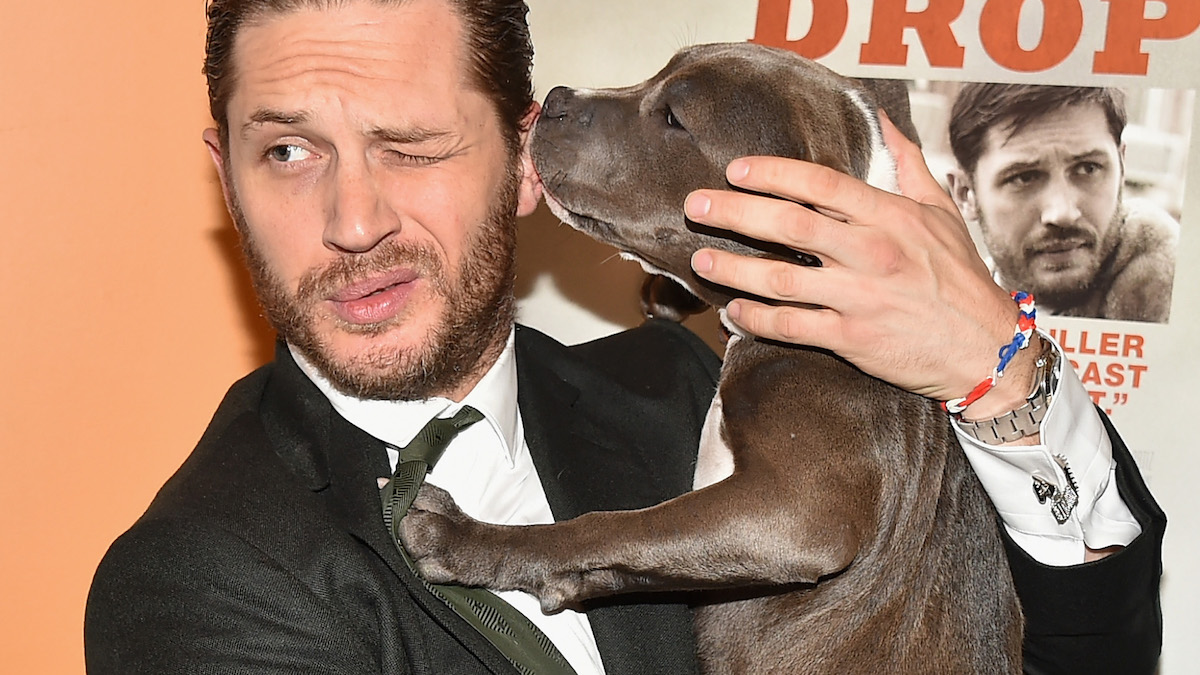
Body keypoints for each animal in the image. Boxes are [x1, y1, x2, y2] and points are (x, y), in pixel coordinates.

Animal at [403, 44, 1022, 667]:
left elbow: (613, 527)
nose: (553, 98)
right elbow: (638, 551)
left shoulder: (802, 511)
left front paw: (467, 540)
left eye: (675, 118)